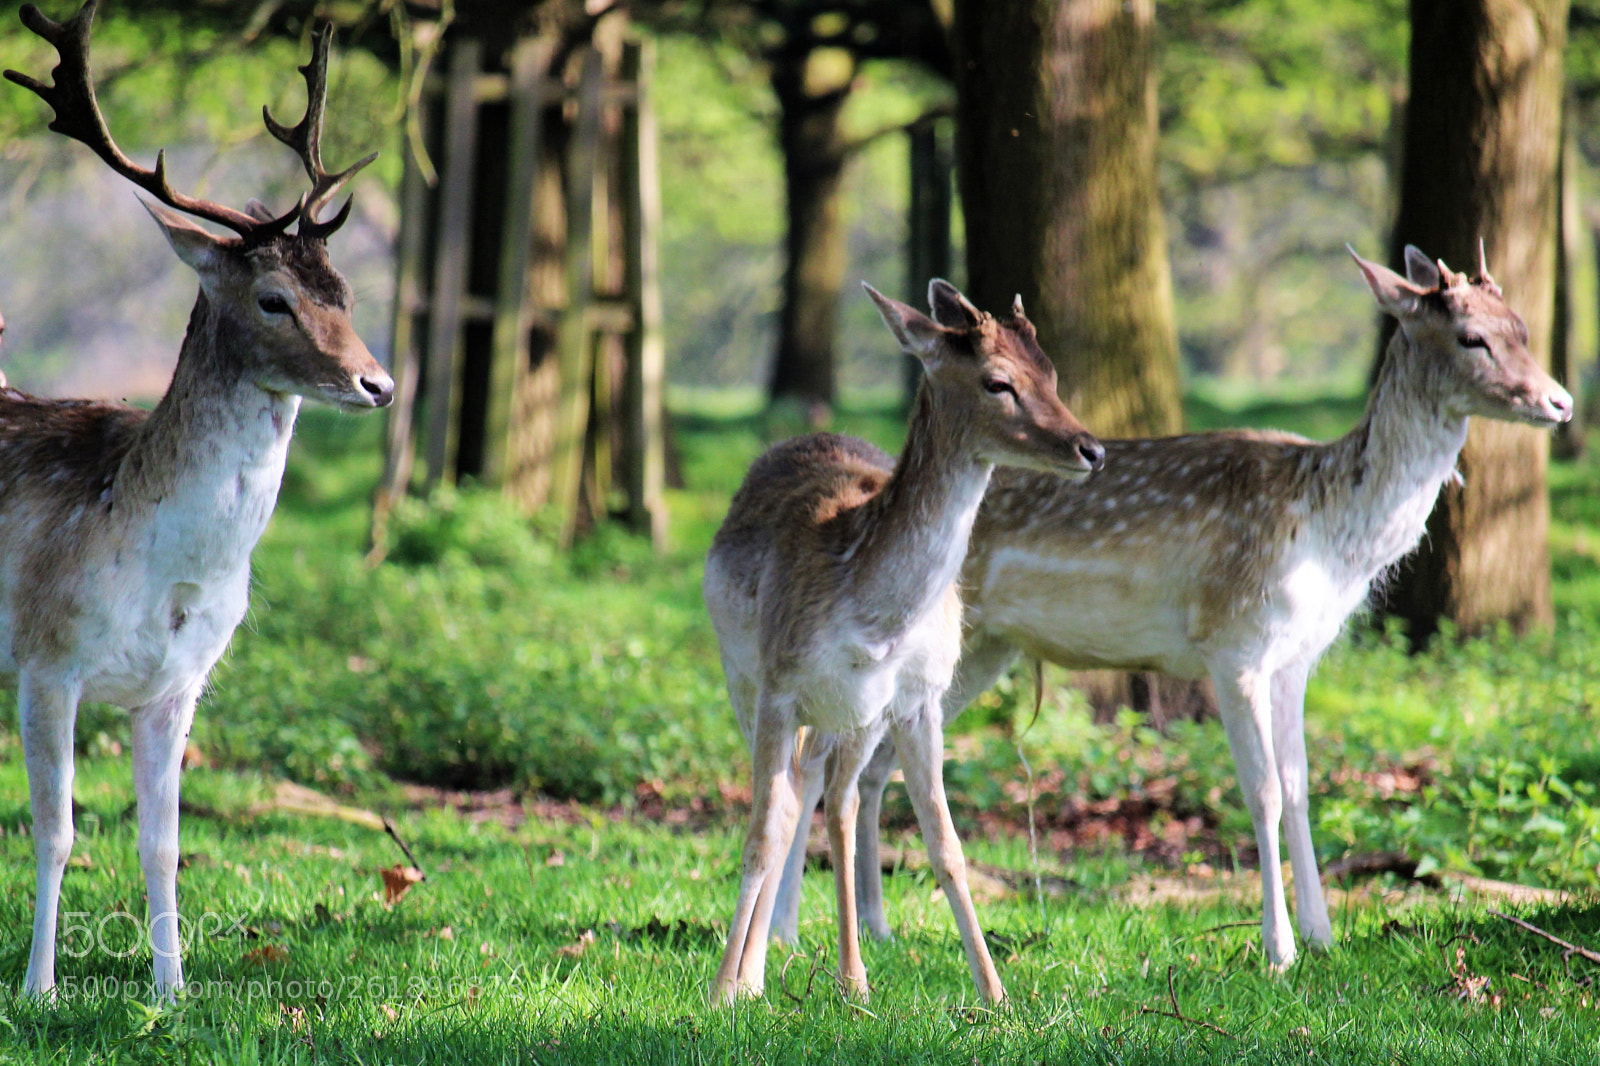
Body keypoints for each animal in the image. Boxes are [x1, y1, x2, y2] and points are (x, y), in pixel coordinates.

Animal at [3, 1, 393, 1000]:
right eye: (272, 298)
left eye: (343, 291)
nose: (378, 383)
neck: (165, 568)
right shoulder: (47, 659)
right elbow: (56, 832)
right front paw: (39, 990)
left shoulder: (178, 687)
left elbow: (163, 844)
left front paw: (171, 994)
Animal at [704, 279, 1104, 1006]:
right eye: (998, 382)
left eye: (1053, 373)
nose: (1091, 449)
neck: (874, 614)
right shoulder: (779, 684)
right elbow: (761, 829)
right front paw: (725, 989)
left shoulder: (918, 696)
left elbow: (945, 842)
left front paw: (996, 995)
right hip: (742, 675)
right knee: (791, 801)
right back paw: (760, 968)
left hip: (853, 715)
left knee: (830, 796)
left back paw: (839, 971)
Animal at [770, 246, 1573, 971]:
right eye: (1472, 337)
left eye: (1524, 327)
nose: (1560, 401)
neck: (1330, 533)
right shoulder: (1234, 639)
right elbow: (1261, 793)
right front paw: (1278, 951)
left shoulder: (1297, 657)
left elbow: (1301, 788)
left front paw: (1323, 935)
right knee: (820, 765)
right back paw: (786, 934)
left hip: (976, 653)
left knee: (869, 769)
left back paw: (874, 929)